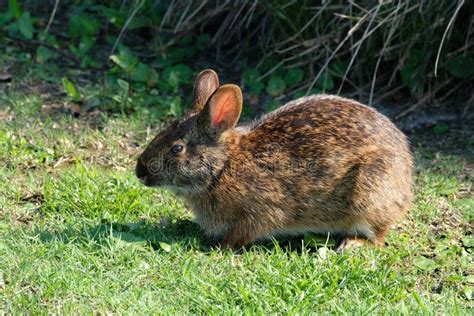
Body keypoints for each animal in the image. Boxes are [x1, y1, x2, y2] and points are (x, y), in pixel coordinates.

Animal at [135, 68, 412, 251]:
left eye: (177, 148)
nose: (140, 171)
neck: (222, 168)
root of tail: (407, 175)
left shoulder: (262, 210)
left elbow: (246, 231)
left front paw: (221, 247)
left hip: (369, 193)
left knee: (378, 235)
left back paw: (352, 244)